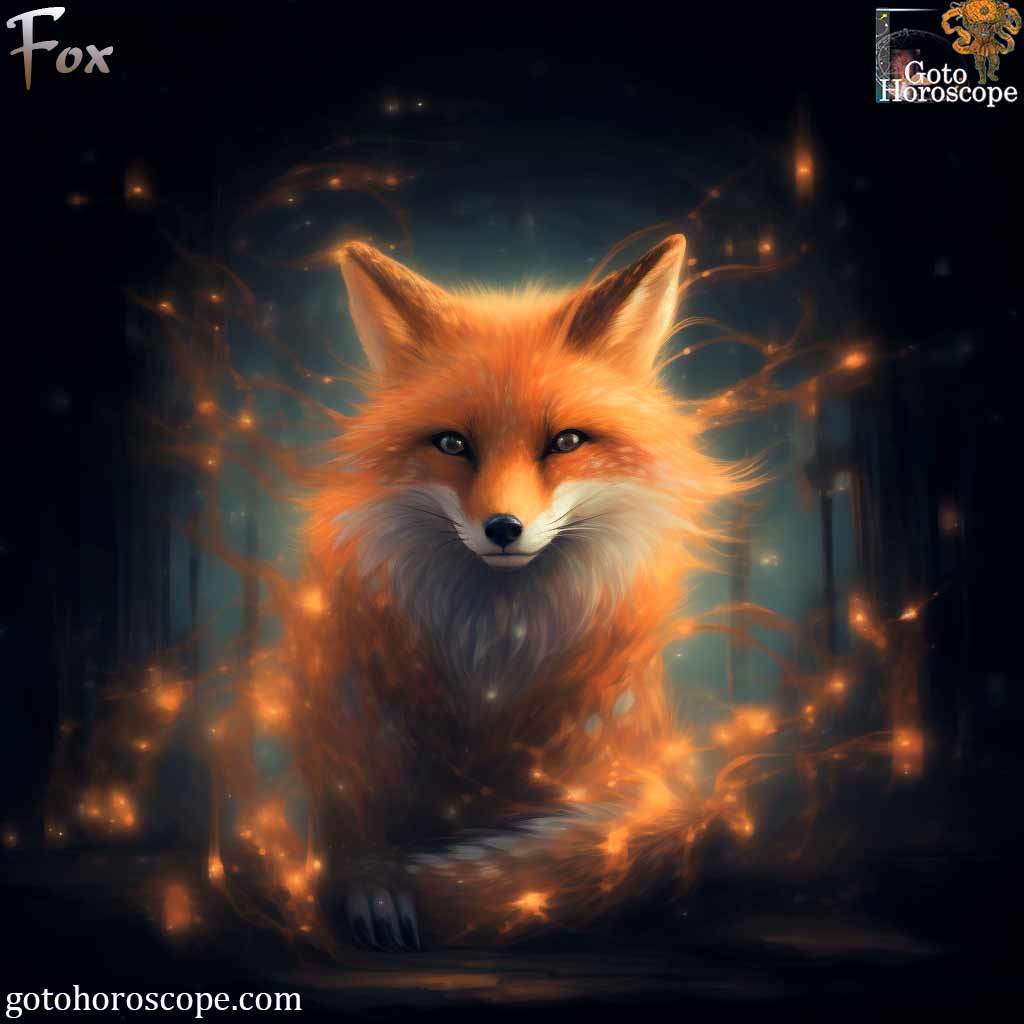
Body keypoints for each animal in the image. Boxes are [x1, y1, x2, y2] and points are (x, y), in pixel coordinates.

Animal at [276, 234, 752, 949]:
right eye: (452, 443)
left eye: (566, 442)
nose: (503, 528)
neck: (495, 662)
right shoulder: (353, 729)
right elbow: (357, 832)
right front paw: (375, 886)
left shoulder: (627, 772)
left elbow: (609, 852)